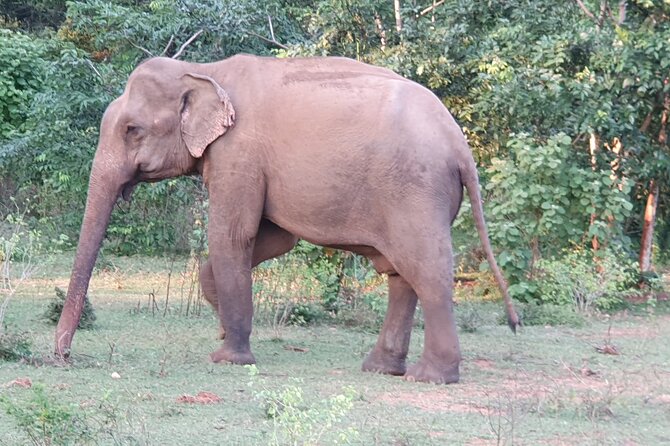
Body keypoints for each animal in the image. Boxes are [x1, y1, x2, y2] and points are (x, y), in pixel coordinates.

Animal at [55, 55, 519, 384]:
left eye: (132, 130)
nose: (61, 356)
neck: (205, 70)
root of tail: (460, 145)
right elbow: (274, 240)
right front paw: (223, 328)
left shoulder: (238, 152)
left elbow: (232, 236)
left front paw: (227, 358)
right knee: (400, 274)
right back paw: (380, 368)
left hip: (416, 191)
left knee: (426, 269)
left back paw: (431, 378)